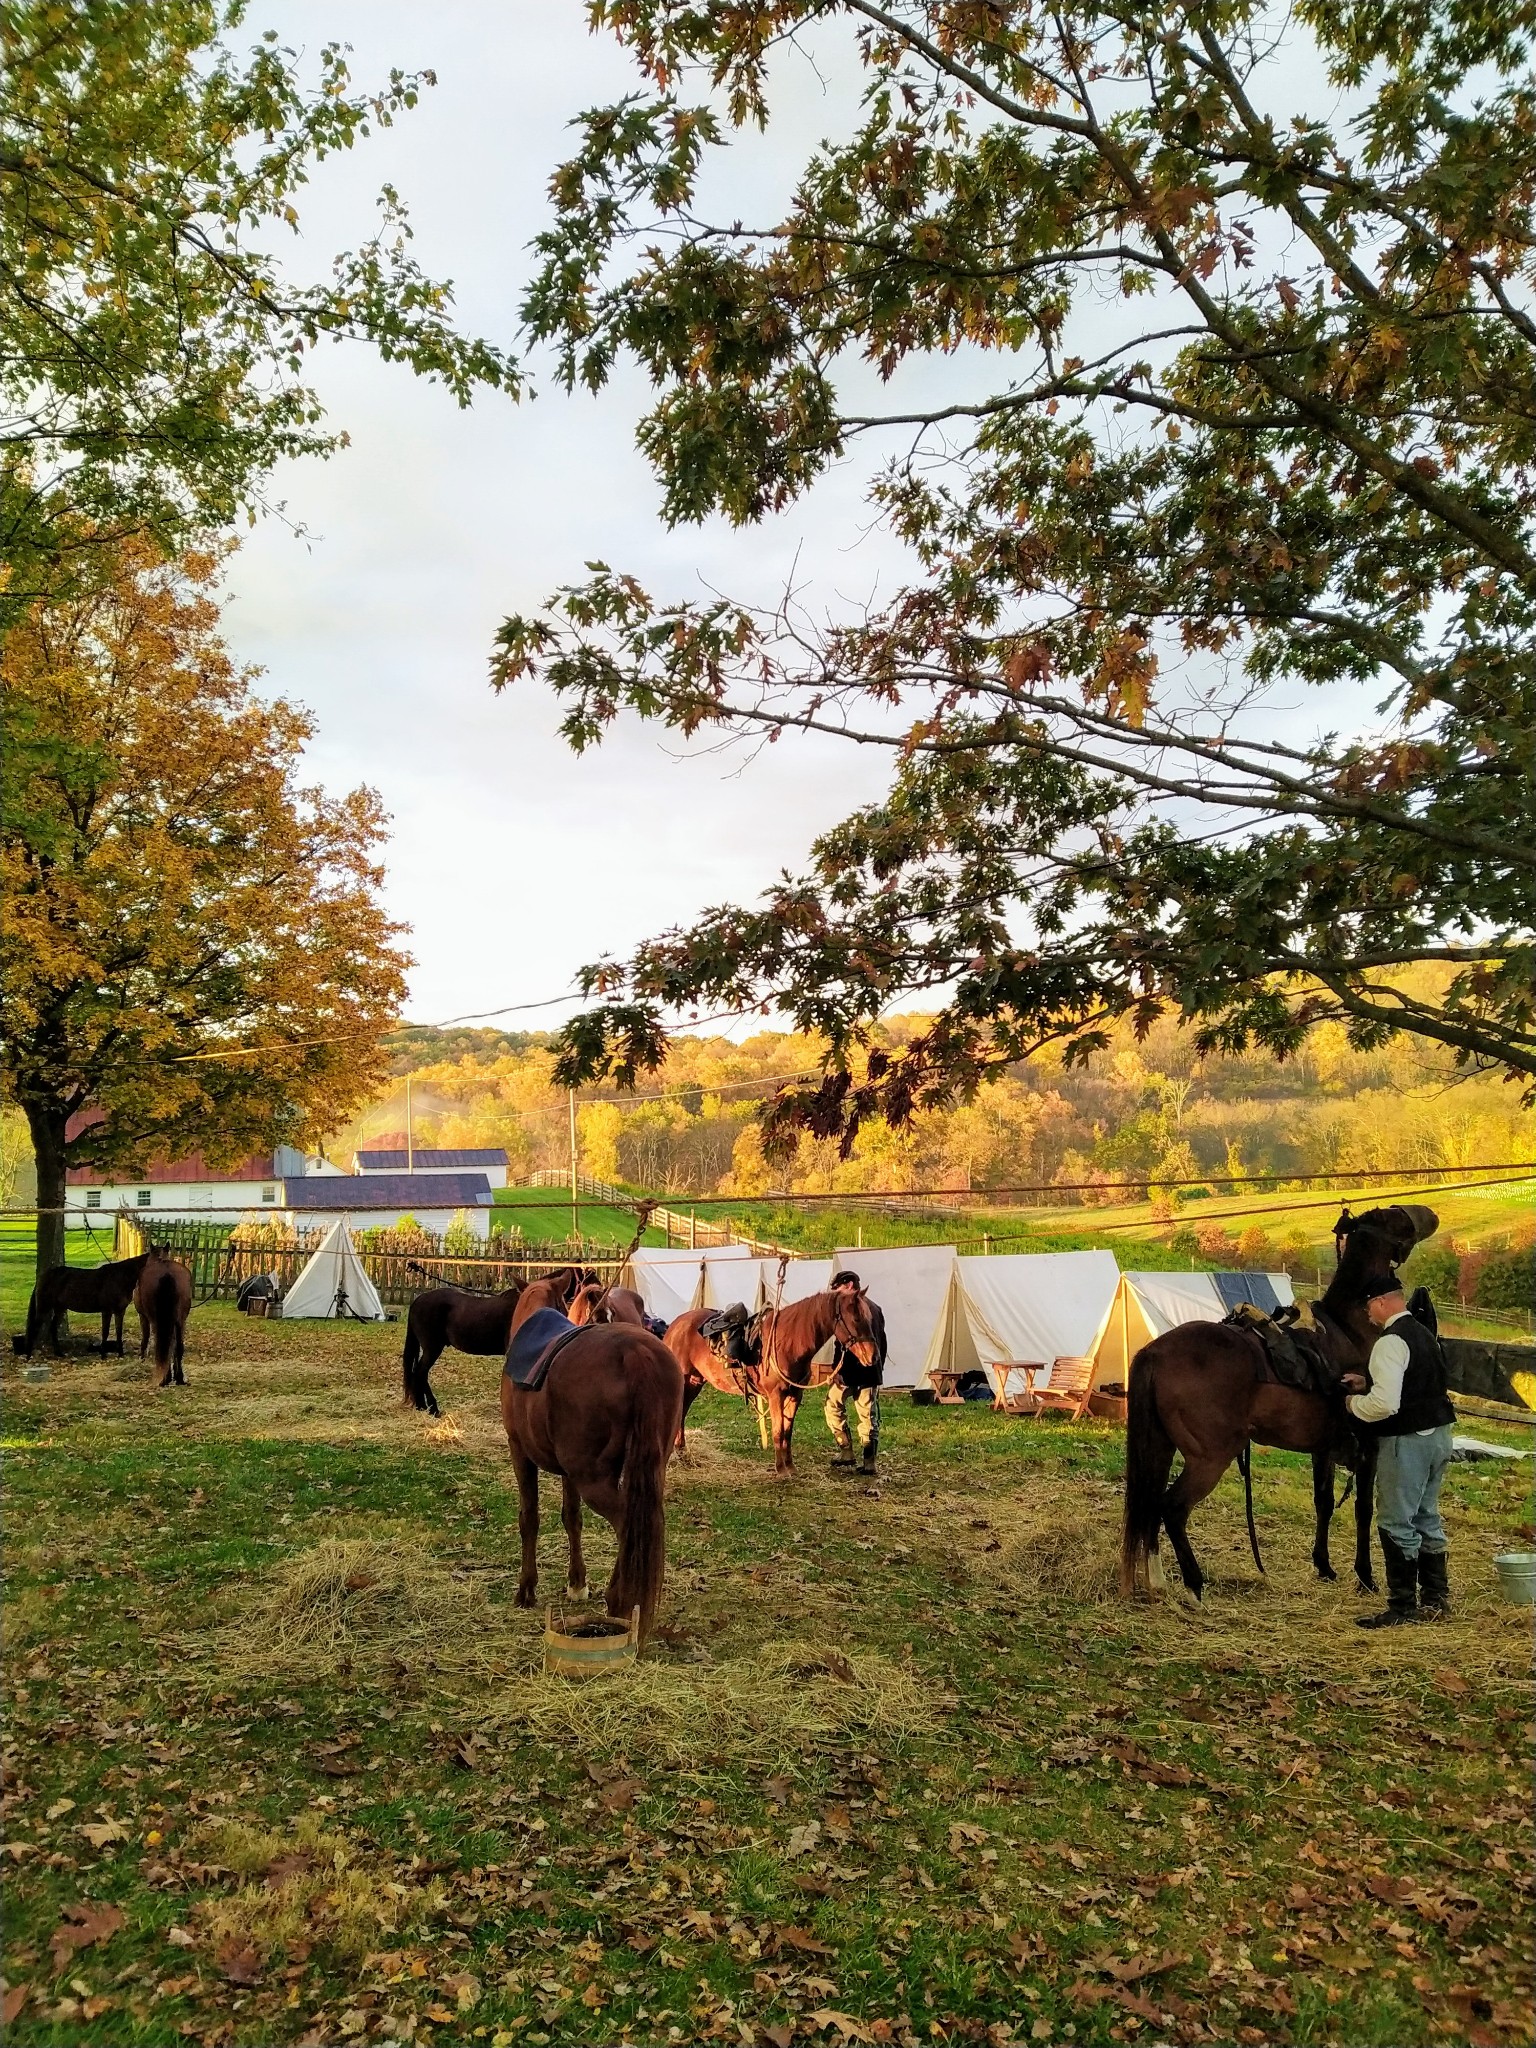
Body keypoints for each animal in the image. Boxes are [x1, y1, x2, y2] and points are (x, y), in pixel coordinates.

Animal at [19, 1245, 152, 1359]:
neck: (119, 1277)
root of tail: (45, 1276)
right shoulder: (107, 1310)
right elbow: (105, 1331)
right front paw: (103, 1355)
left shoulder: (120, 1311)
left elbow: (119, 1332)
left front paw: (121, 1354)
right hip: (44, 1307)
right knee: (35, 1327)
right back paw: (28, 1356)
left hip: (59, 1308)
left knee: (53, 1328)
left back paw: (59, 1353)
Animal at [136, 1245, 193, 1392]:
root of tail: (167, 1274)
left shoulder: (143, 1317)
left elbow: (145, 1340)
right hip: (180, 1321)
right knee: (178, 1346)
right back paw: (179, 1378)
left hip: (157, 1321)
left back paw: (165, 1379)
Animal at [501, 1269, 684, 1638]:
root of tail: (635, 1353)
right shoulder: (568, 1473)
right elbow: (572, 1518)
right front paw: (577, 1583)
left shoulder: (520, 1452)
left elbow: (529, 1517)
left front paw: (526, 1589)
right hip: (647, 1469)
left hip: (594, 1480)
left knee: (628, 1526)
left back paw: (620, 1600)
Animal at [1122, 1196, 1441, 1597]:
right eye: (1393, 1216)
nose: (1430, 1215)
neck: (1350, 1331)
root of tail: (1157, 1350)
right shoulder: (1369, 1447)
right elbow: (1363, 1510)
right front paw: (1365, 1575)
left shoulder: (1323, 1450)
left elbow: (1324, 1503)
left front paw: (1324, 1565)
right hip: (1210, 1458)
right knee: (1172, 1508)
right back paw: (1195, 1586)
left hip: (1162, 1447)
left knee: (1151, 1504)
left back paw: (1158, 1579)